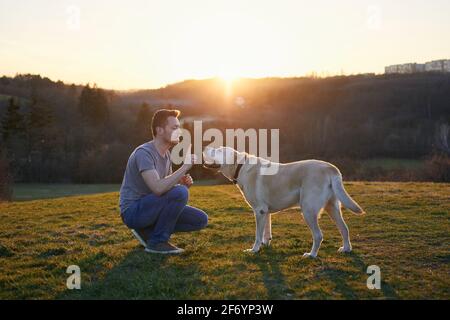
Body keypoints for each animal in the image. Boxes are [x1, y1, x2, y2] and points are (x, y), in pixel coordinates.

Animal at [202, 146, 364, 258]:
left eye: (218, 150)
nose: (204, 147)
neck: (240, 167)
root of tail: (331, 168)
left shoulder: (259, 210)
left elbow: (257, 235)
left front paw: (254, 250)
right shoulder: (265, 211)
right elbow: (266, 232)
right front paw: (265, 244)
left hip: (308, 210)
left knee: (318, 235)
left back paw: (311, 255)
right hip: (332, 207)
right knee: (344, 228)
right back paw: (346, 249)